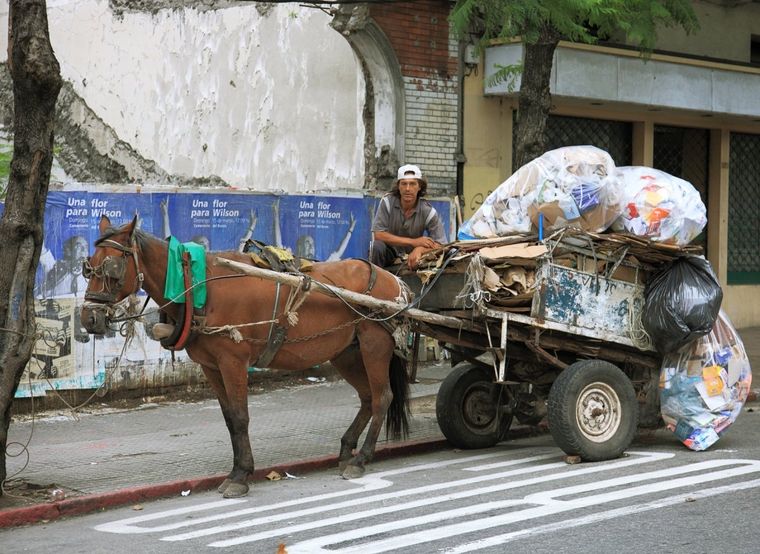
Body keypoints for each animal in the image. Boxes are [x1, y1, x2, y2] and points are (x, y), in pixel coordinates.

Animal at [80, 215, 410, 498]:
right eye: (88, 267)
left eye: (111, 267)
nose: (89, 318)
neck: (196, 285)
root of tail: (392, 279)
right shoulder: (211, 366)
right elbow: (229, 419)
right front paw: (237, 469)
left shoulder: (233, 362)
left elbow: (240, 417)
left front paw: (241, 476)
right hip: (346, 352)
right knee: (368, 397)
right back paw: (346, 450)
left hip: (374, 344)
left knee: (382, 397)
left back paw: (361, 458)